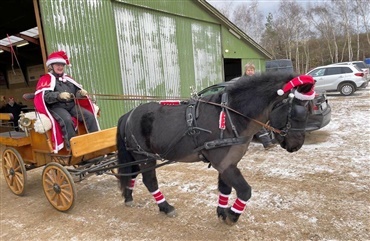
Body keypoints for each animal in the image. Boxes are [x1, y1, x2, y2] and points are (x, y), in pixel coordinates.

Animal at [117, 71, 316, 224]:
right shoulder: (224, 163)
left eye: (308, 111)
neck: (229, 117)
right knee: (149, 181)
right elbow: (245, 191)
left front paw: (222, 212)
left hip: (136, 155)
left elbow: (225, 188)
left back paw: (128, 197)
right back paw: (166, 207)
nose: (296, 145)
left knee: (131, 174)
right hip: (145, 156)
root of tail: (129, 114)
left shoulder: (228, 163)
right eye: (295, 113)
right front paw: (232, 216)